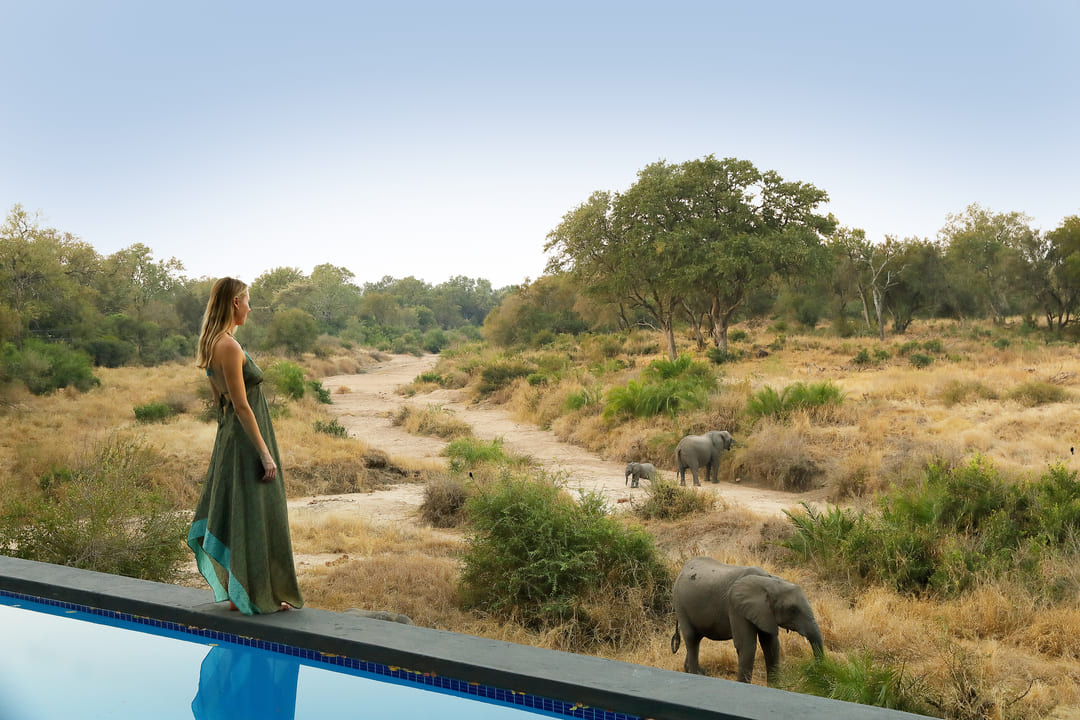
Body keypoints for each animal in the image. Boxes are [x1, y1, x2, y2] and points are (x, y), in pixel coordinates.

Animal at [671, 557, 823, 684]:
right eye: (792, 610)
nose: (814, 669)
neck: (769, 581)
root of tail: (682, 569)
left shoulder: (764, 612)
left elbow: (771, 644)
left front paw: (775, 687)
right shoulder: (736, 606)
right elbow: (747, 645)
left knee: (697, 638)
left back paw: (697, 672)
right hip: (679, 603)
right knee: (692, 638)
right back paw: (695, 674)